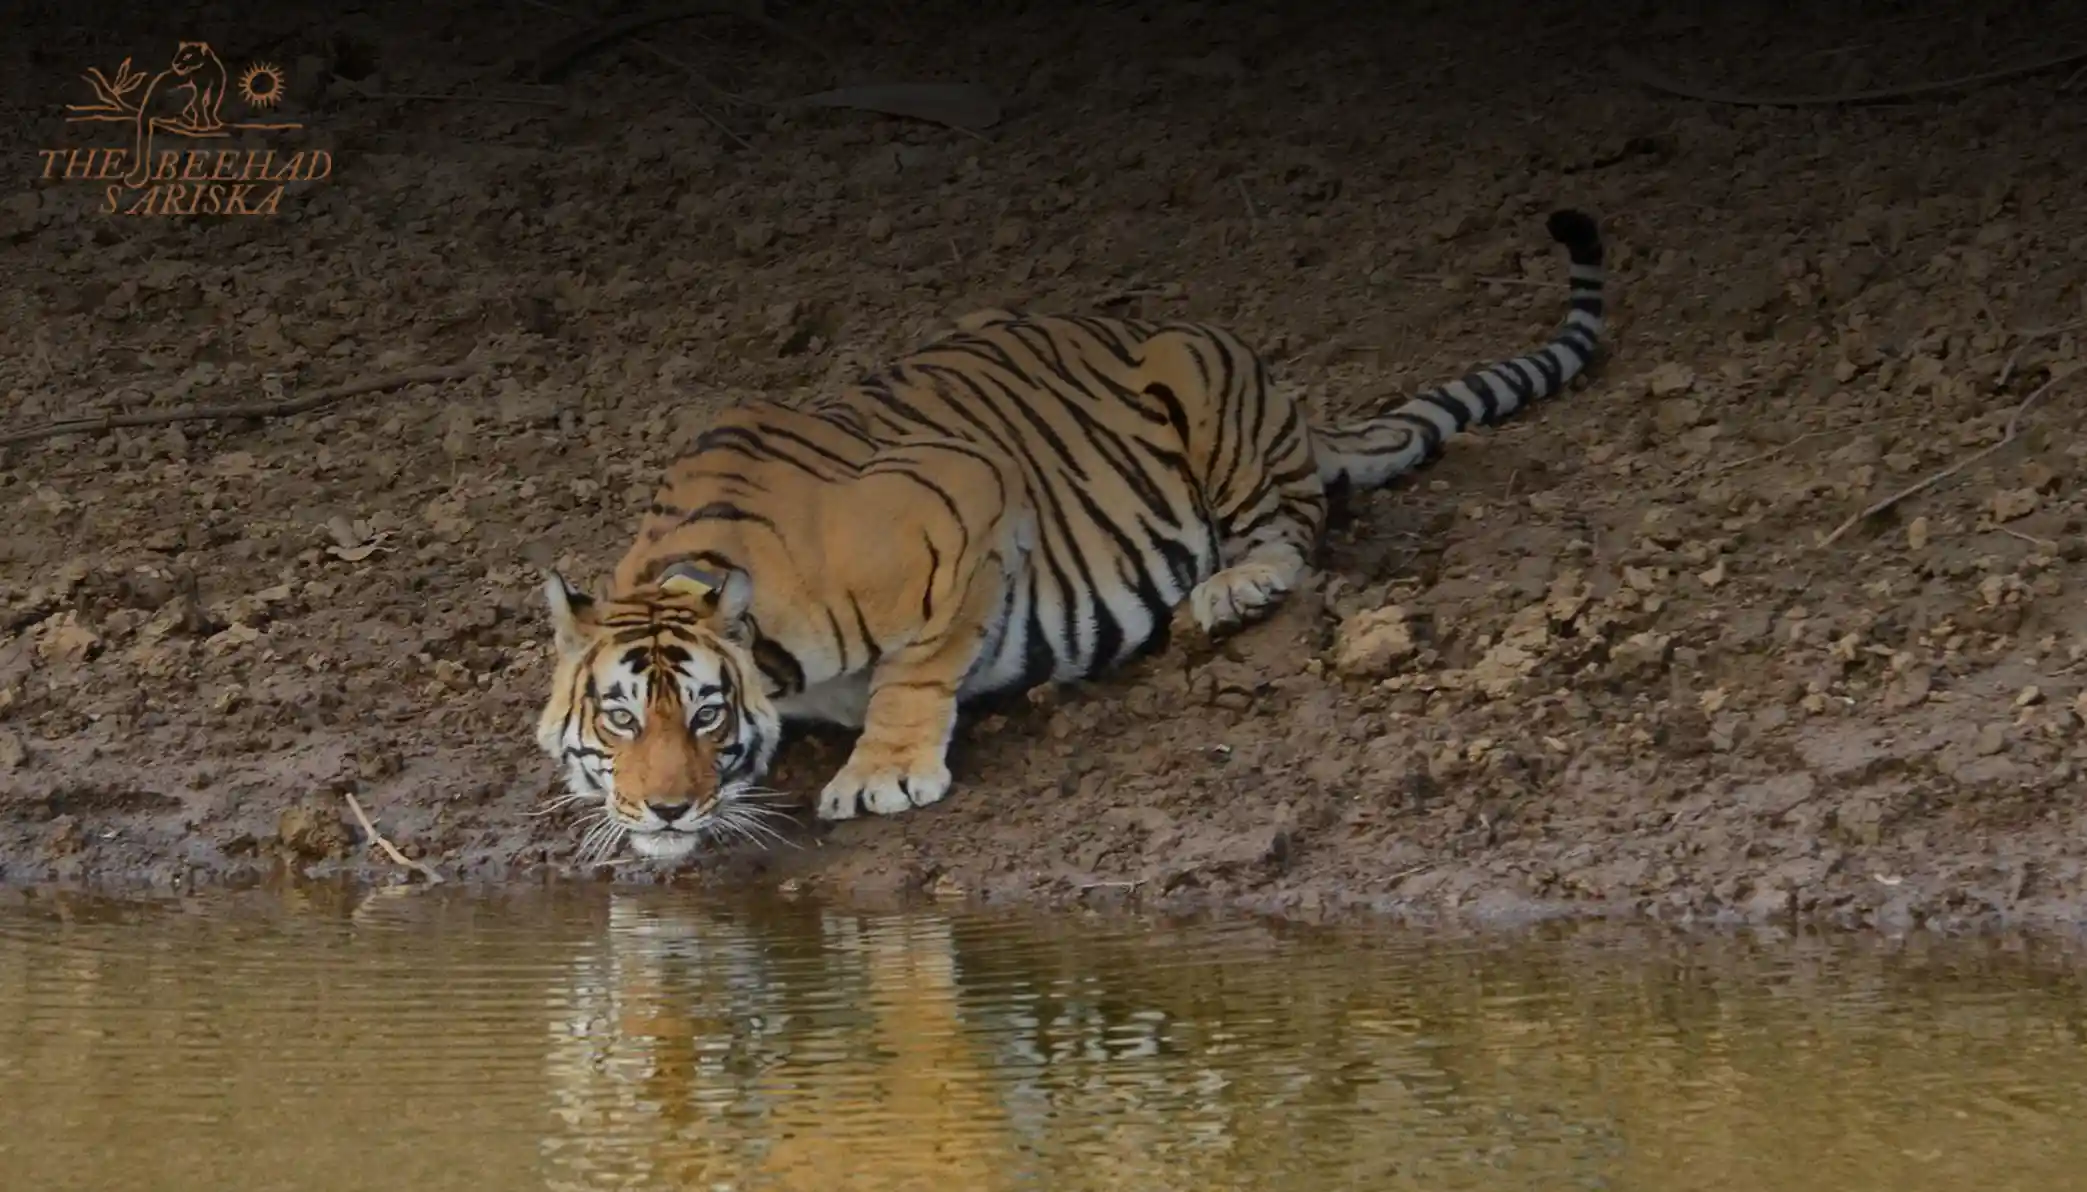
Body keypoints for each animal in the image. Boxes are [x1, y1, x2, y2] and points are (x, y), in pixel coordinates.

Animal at [536, 208, 1607, 864]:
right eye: (620, 719)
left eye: (707, 714)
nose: (667, 808)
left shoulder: (967, 494)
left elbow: (922, 664)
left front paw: (884, 772)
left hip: (1208, 391)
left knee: (1293, 531)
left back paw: (1234, 589)